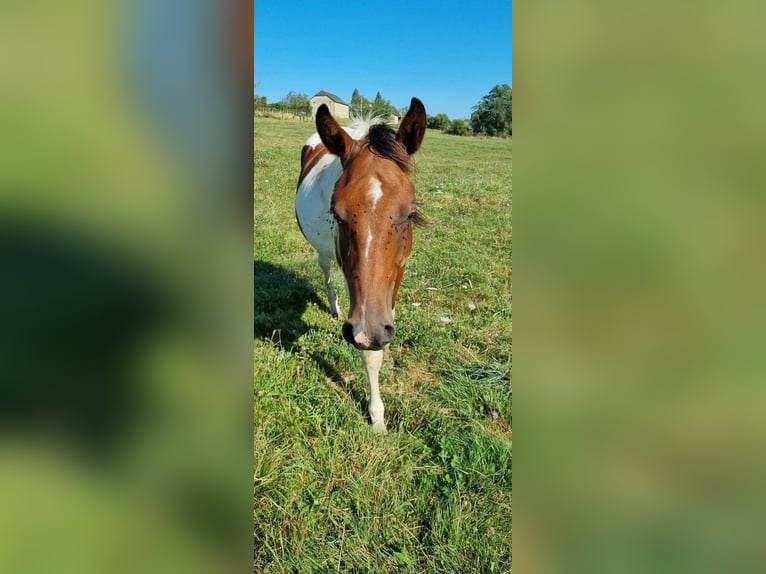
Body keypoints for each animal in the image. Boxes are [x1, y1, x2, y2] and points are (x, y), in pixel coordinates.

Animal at [296, 98, 428, 432]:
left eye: (410, 213)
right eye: (336, 213)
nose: (372, 331)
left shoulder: (398, 272)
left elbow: (388, 315)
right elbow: (370, 354)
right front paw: (377, 417)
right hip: (325, 254)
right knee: (325, 271)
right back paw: (333, 307)